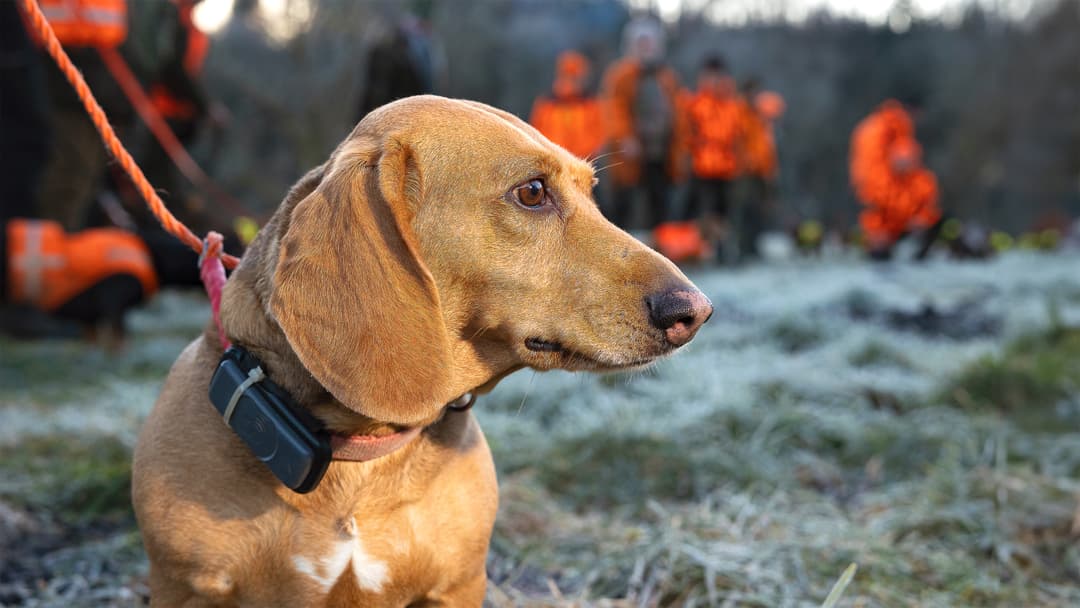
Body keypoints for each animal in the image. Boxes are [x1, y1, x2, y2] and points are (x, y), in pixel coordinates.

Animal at [130, 97, 712, 604]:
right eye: (531, 192)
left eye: (592, 192)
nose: (697, 311)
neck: (360, 459)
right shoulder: (181, 589)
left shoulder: (457, 587)